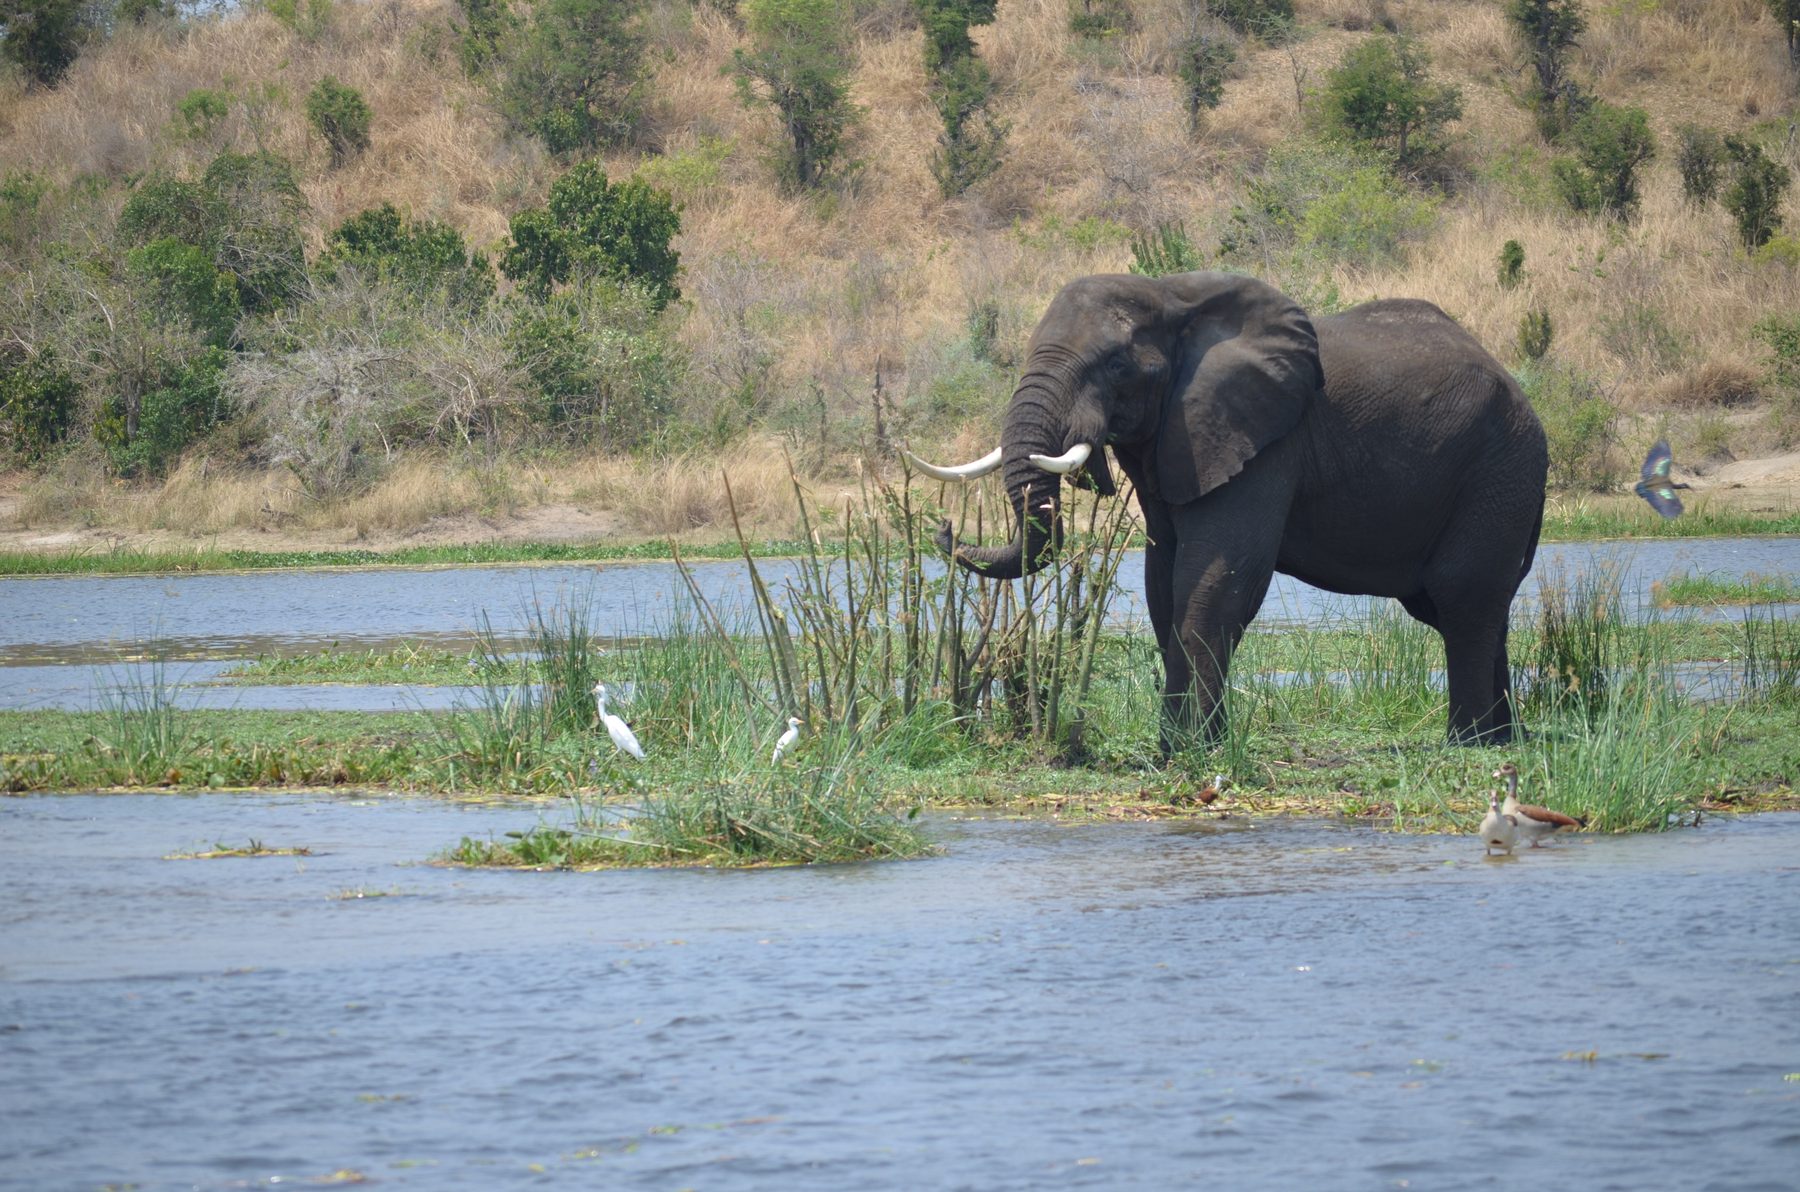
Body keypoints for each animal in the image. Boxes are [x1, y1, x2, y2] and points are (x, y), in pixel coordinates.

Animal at [909, 271, 1548, 752]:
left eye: (1115, 365)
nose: (943, 527)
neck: (1173, 298)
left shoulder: (1263, 439)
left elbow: (1218, 576)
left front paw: (1197, 750)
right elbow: (1164, 584)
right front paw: (1175, 747)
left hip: (1501, 468)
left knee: (1463, 598)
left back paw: (1468, 744)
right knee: (1471, 607)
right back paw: (1504, 739)